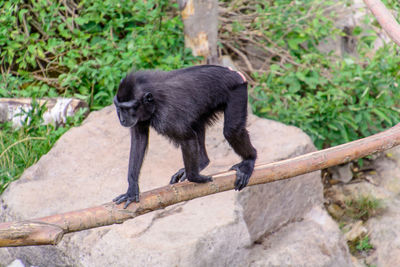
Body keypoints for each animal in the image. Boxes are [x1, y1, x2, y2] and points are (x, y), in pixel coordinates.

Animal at [113, 66, 256, 208]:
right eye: (119, 108)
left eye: (128, 108)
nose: (122, 119)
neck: (153, 101)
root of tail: (234, 73)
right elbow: (139, 141)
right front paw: (131, 189)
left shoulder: (167, 116)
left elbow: (188, 139)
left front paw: (195, 178)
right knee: (197, 123)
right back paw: (202, 161)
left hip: (237, 91)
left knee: (232, 131)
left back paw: (249, 160)